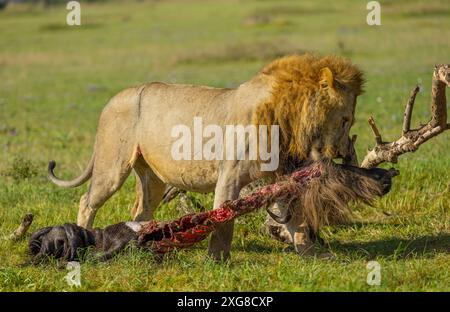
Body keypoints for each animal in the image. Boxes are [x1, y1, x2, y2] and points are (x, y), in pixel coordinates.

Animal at [49, 54, 364, 260]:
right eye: (346, 119)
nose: (341, 152)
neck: (288, 121)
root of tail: (114, 97)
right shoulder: (230, 175)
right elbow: (224, 220)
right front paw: (217, 261)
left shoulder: (281, 176)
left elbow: (296, 217)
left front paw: (310, 253)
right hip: (112, 165)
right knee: (87, 201)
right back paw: (81, 241)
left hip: (152, 178)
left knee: (141, 211)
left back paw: (142, 245)